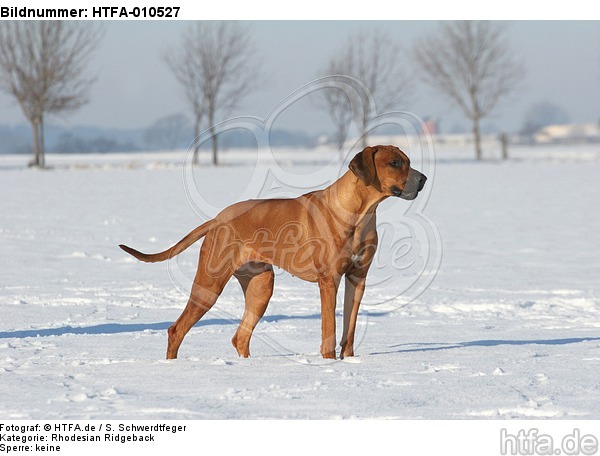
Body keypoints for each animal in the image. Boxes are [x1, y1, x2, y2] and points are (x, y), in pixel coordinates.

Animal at [119, 146, 426, 360]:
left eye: (409, 161)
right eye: (395, 163)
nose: (423, 179)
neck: (361, 213)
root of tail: (217, 218)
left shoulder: (357, 278)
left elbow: (349, 329)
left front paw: (349, 361)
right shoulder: (329, 281)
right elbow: (329, 329)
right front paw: (329, 362)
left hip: (261, 286)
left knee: (240, 337)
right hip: (209, 284)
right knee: (177, 330)